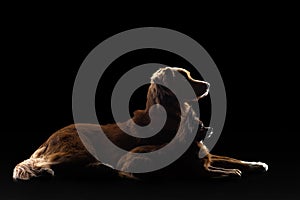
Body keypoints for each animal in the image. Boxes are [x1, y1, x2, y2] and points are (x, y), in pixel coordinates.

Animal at [12, 66, 268, 180]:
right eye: (186, 77)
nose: (207, 84)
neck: (173, 115)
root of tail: (50, 137)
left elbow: (231, 157)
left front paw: (255, 164)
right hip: (80, 150)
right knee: (35, 163)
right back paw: (45, 169)